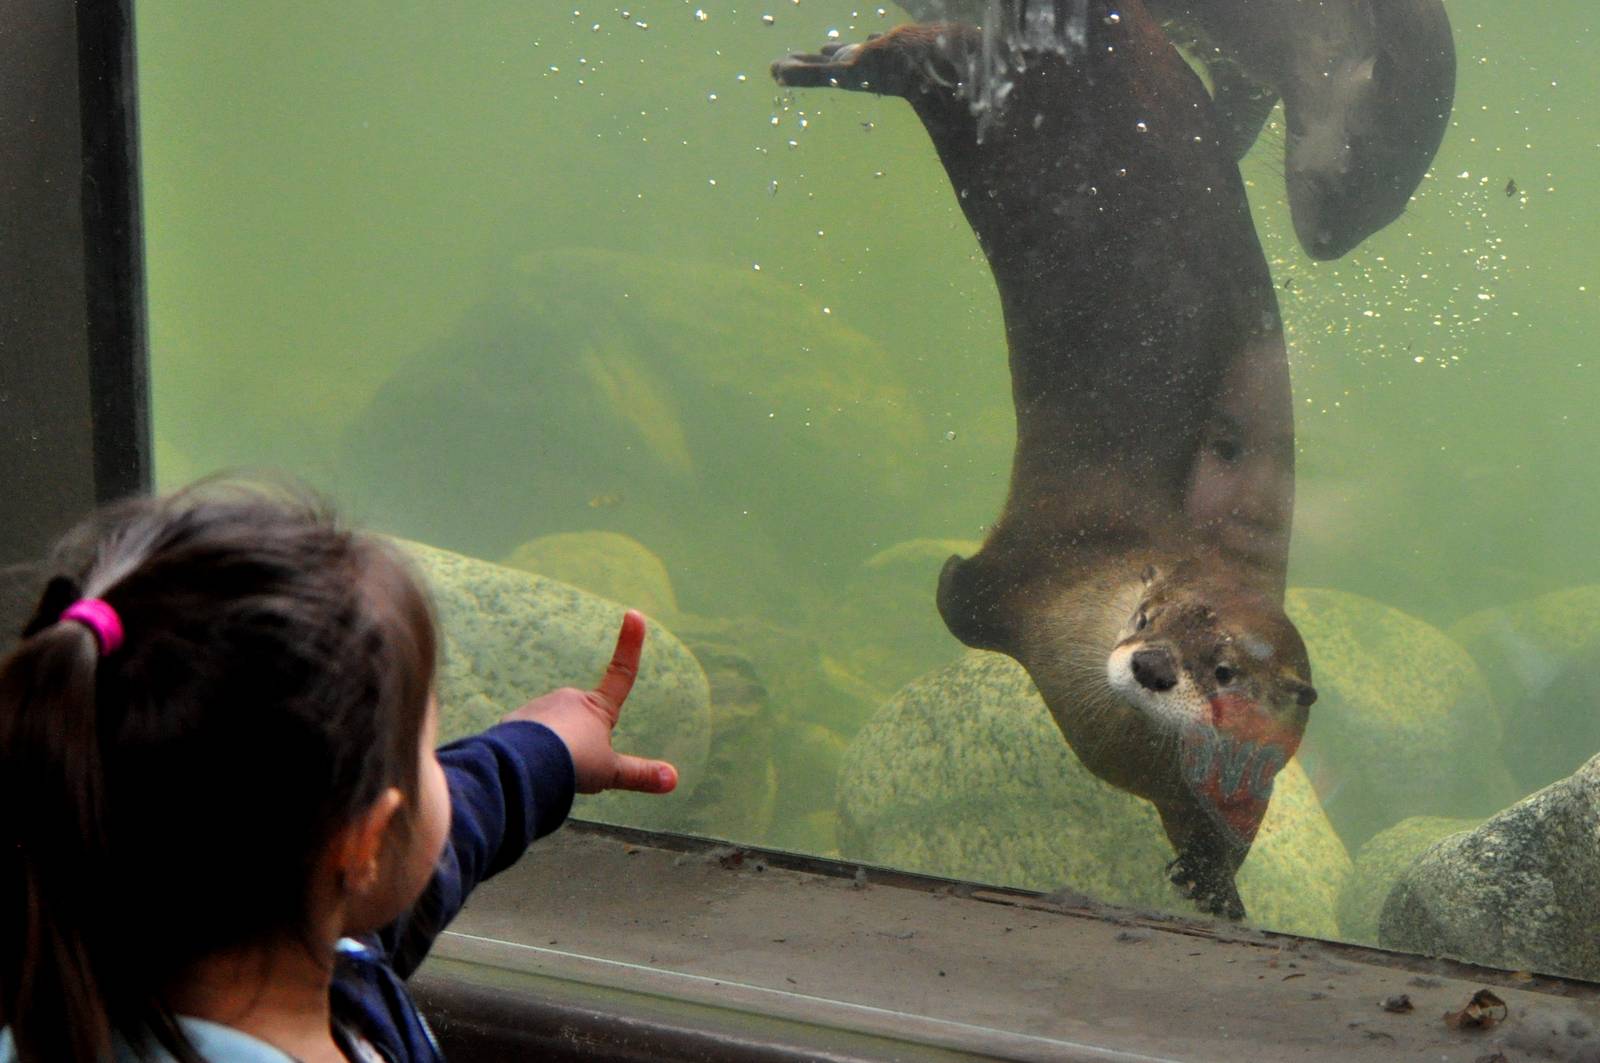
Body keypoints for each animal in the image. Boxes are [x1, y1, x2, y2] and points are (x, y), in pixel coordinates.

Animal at [774, 4, 1315, 918]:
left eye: (1226, 671)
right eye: (1146, 616)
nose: (1150, 665)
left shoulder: (1228, 787)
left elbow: (1224, 832)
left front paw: (1214, 885)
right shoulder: (1036, 567)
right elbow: (961, 599)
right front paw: (947, 574)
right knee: (925, 50)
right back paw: (820, 61)